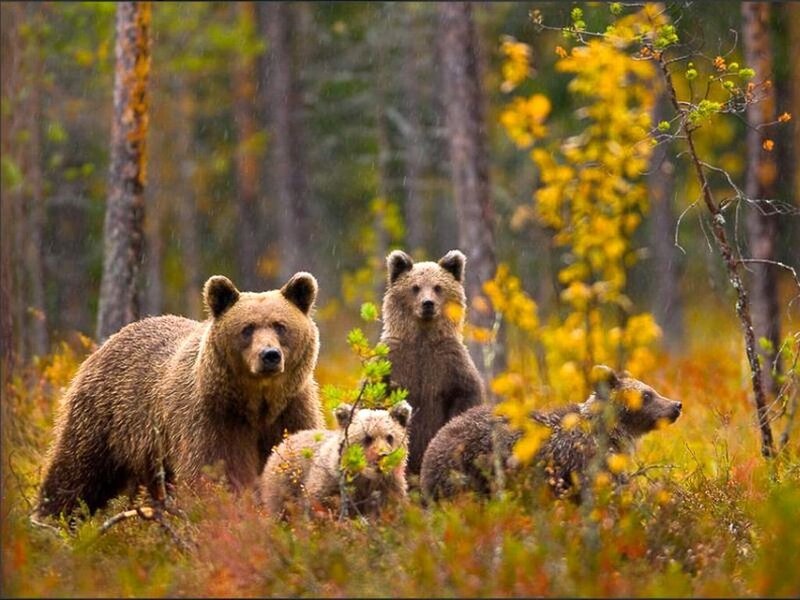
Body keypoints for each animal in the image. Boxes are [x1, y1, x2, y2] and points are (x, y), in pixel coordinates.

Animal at [36, 272, 323, 519]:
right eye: (248, 328)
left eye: (280, 326)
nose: (269, 355)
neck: (257, 403)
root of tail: (107, 342)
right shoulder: (213, 418)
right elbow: (215, 474)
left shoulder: (291, 411)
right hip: (104, 418)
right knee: (77, 472)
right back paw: (51, 520)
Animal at [259, 401, 412, 519]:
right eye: (367, 438)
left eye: (390, 437)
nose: (383, 455)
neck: (365, 478)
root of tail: (284, 442)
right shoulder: (330, 483)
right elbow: (316, 504)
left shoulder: (389, 486)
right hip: (284, 484)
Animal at [381, 249, 483, 477]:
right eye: (415, 287)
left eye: (438, 287)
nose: (428, 303)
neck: (423, 337)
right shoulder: (393, 359)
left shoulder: (450, 361)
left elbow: (466, 394)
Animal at [420, 365, 682, 502]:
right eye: (647, 394)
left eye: (651, 389)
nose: (676, 405)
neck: (612, 434)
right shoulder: (583, 463)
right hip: (467, 472)